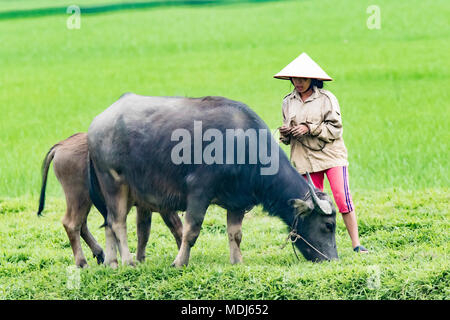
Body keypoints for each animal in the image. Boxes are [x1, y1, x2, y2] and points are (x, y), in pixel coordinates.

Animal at [36, 132, 182, 268]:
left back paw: (102, 255)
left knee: (84, 225)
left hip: (86, 202)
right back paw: (83, 263)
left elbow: (143, 232)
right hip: (78, 197)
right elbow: (177, 228)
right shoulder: (163, 206)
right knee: (71, 224)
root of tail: (61, 145)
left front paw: (140, 260)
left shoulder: (144, 207)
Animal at [88, 93, 338, 268]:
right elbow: (191, 230)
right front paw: (179, 262)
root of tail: (97, 123)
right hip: (113, 182)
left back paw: (111, 263)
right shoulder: (199, 190)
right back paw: (128, 261)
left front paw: (237, 261)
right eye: (329, 225)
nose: (333, 259)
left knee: (109, 223)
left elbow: (235, 234)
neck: (244, 145)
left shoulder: (238, 201)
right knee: (118, 223)